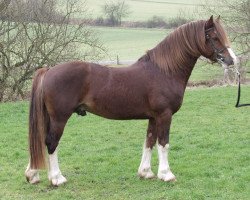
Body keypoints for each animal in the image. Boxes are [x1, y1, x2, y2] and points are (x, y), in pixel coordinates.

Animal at [24, 16, 236, 187]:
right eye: (214, 37)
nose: (231, 60)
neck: (164, 71)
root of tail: (48, 70)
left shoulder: (153, 117)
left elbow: (149, 142)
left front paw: (146, 172)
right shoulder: (164, 115)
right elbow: (163, 143)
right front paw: (166, 174)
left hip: (49, 118)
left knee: (40, 142)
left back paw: (32, 175)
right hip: (59, 118)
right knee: (51, 143)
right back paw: (56, 178)